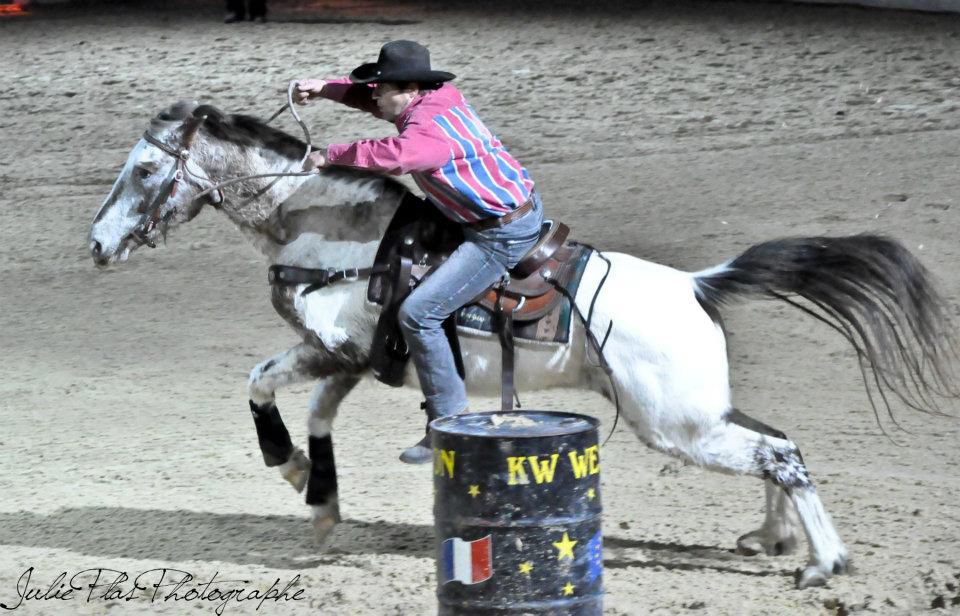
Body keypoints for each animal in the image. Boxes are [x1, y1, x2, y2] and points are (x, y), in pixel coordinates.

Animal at [88, 101, 959, 589]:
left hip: (676, 426)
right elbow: (302, 405)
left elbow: (269, 385)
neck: (338, 231)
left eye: (143, 172)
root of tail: (697, 285)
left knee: (779, 454)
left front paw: (295, 471)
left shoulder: (341, 351)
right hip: (699, 415)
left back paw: (823, 563)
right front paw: (319, 494)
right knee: (779, 441)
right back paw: (773, 538)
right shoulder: (355, 360)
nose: (97, 245)